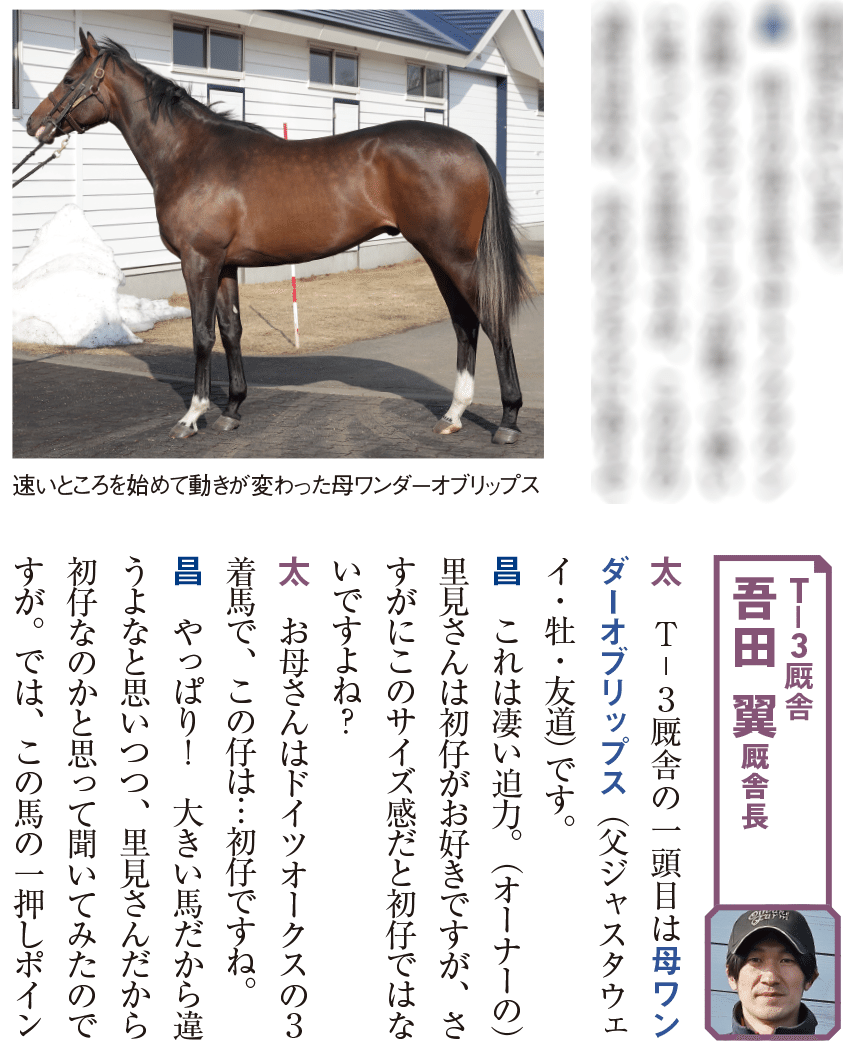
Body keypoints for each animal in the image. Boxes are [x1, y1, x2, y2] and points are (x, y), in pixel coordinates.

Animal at [27, 31, 534, 444]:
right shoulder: (226, 264)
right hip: (438, 255)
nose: (34, 125)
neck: (192, 155)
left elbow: (201, 334)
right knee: (465, 324)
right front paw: (232, 410)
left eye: (70, 78)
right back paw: (453, 415)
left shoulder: (198, 260)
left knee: (490, 319)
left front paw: (192, 417)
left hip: (453, 255)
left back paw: (507, 420)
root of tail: (470, 145)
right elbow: (231, 330)